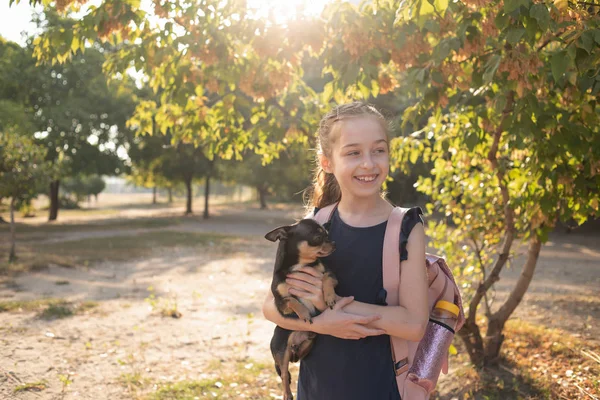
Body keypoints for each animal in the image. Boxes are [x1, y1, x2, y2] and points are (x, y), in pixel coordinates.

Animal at [268, 219, 338, 400]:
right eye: (318, 238)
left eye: (327, 234)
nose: (333, 243)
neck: (300, 265)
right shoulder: (280, 304)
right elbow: (292, 299)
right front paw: (304, 313)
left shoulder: (331, 274)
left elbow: (326, 278)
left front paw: (329, 296)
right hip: (281, 350)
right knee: (284, 374)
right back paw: (287, 394)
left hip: (308, 345)